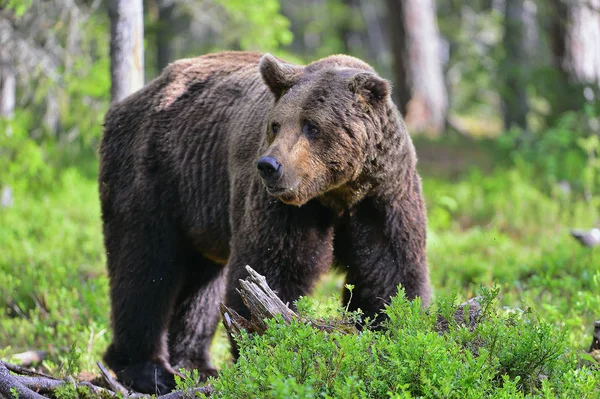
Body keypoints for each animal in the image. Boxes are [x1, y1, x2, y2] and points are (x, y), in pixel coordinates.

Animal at [99, 51, 432, 396]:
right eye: (276, 124)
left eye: (312, 126)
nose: (270, 165)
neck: (336, 192)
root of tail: (136, 96)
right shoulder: (283, 208)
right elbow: (271, 270)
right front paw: (271, 347)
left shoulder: (382, 197)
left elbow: (388, 272)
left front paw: (393, 337)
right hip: (152, 172)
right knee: (143, 266)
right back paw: (147, 370)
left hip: (200, 207)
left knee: (200, 284)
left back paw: (195, 366)